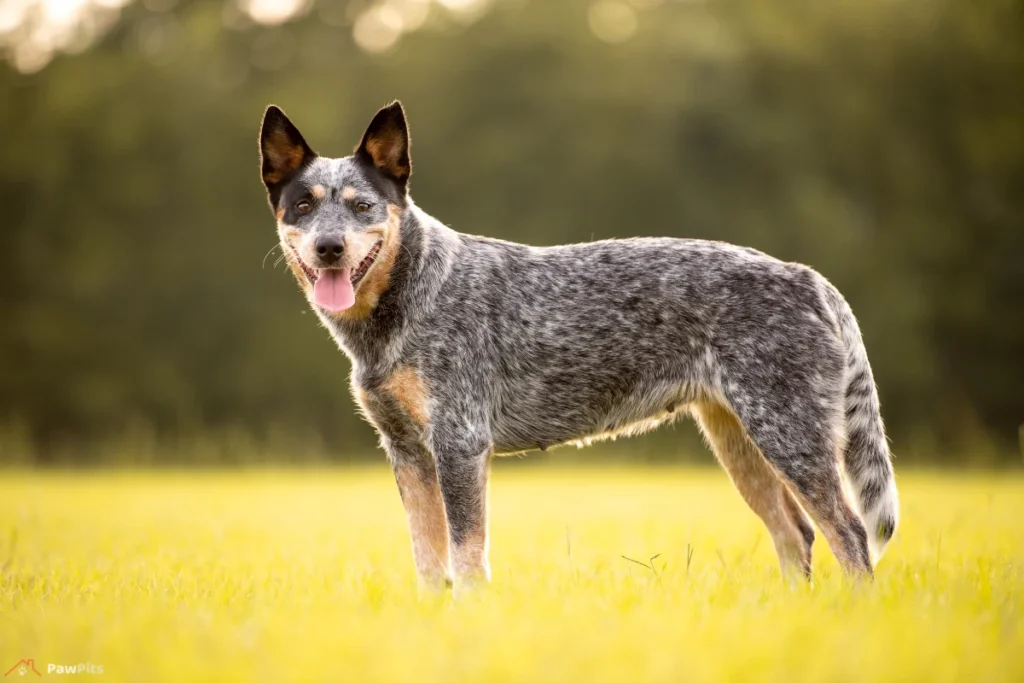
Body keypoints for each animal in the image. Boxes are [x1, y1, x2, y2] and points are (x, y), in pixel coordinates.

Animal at [260, 102, 901, 593]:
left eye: (362, 205)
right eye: (303, 206)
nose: (328, 247)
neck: (413, 294)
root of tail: (808, 277)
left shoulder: (459, 443)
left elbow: (466, 554)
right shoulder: (406, 452)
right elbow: (428, 559)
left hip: (789, 437)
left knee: (849, 534)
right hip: (740, 443)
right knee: (797, 534)